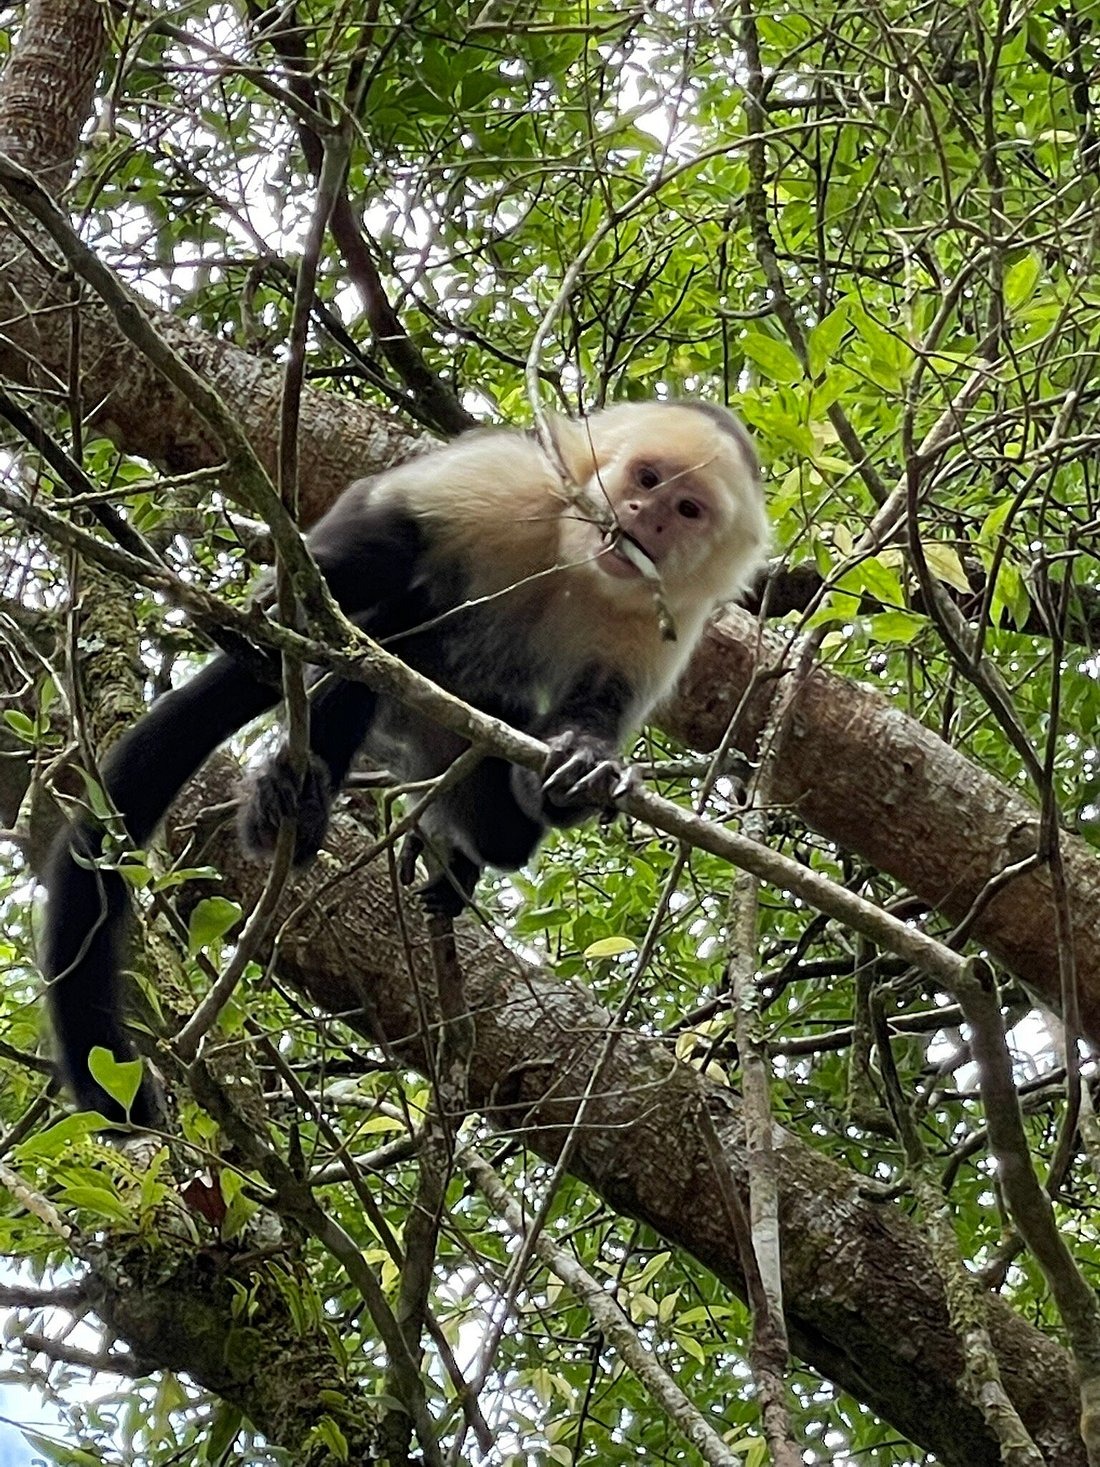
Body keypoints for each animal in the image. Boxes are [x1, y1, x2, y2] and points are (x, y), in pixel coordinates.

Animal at [42, 400, 768, 1123]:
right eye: (646, 477)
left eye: (688, 509)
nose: (647, 516)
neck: (577, 565)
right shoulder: (521, 483)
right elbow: (390, 529)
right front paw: (293, 589)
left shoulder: (667, 619)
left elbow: (594, 710)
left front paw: (583, 769)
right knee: (381, 634)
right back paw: (289, 799)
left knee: (505, 829)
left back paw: (464, 855)